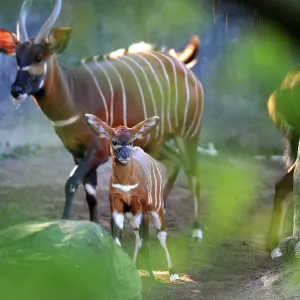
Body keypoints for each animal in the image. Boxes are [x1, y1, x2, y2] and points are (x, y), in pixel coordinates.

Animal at [0, 0, 204, 239]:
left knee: (193, 173)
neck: (74, 95)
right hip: (154, 142)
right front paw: (95, 230)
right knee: (175, 163)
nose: (16, 90)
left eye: (39, 56)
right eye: (17, 58)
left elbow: (71, 183)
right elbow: (90, 193)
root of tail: (183, 66)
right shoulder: (78, 153)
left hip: (189, 134)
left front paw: (65, 224)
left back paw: (197, 230)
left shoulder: (97, 150)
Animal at [84, 114, 179, 282]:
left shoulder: (143, 208)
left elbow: (146, 244)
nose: (124, 156)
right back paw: (134, 267)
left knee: (161, 234)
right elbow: (117, 243)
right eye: (114, 141)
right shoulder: (117, 208)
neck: (126, 184)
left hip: (156, 208)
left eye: (130, 142)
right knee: (137, 236)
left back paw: (172, 272)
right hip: (131, 214)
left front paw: (151, 277)